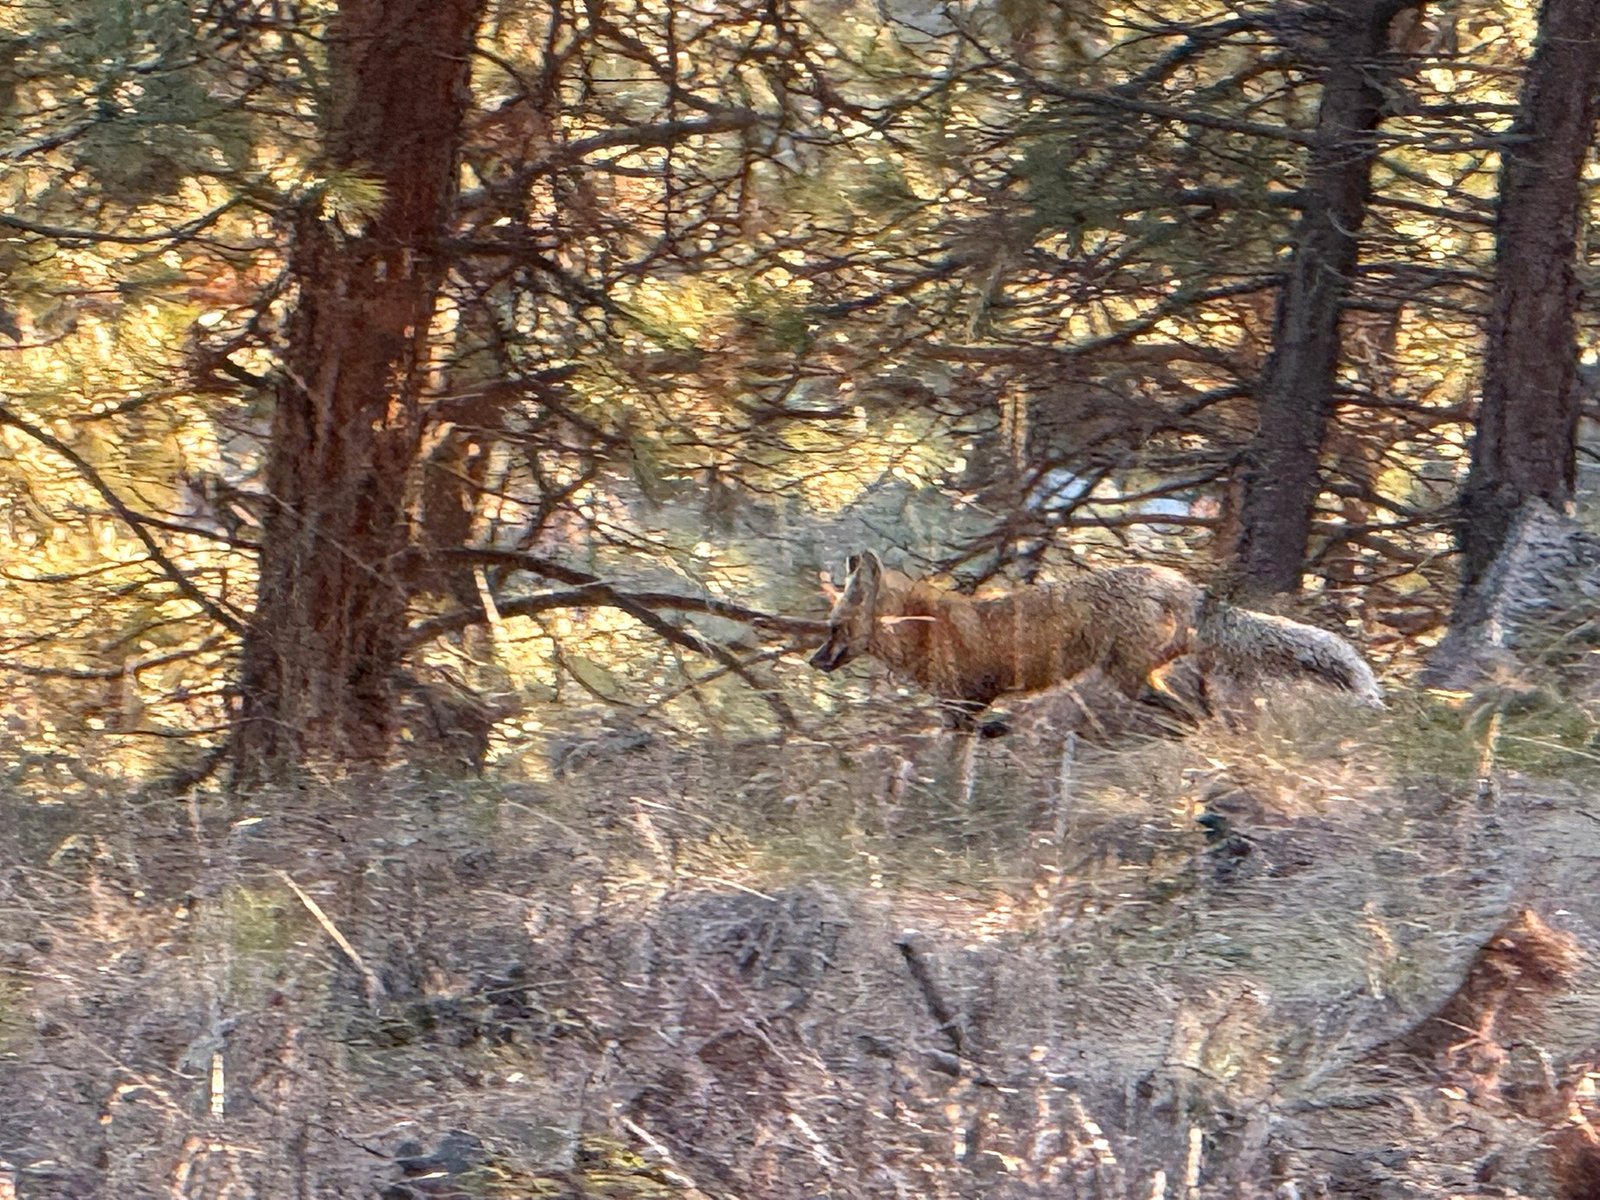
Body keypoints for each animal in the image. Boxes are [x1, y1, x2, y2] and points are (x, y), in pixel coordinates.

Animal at [808, 551, 1381, 722]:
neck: (925, 629)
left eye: (834, 629)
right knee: (1201, 711)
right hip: (1149, 673)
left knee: (1188, 713)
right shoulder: (974, 706)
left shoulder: (965, 705)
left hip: (1128, 678)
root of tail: (1178, 582)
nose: (815, 660)